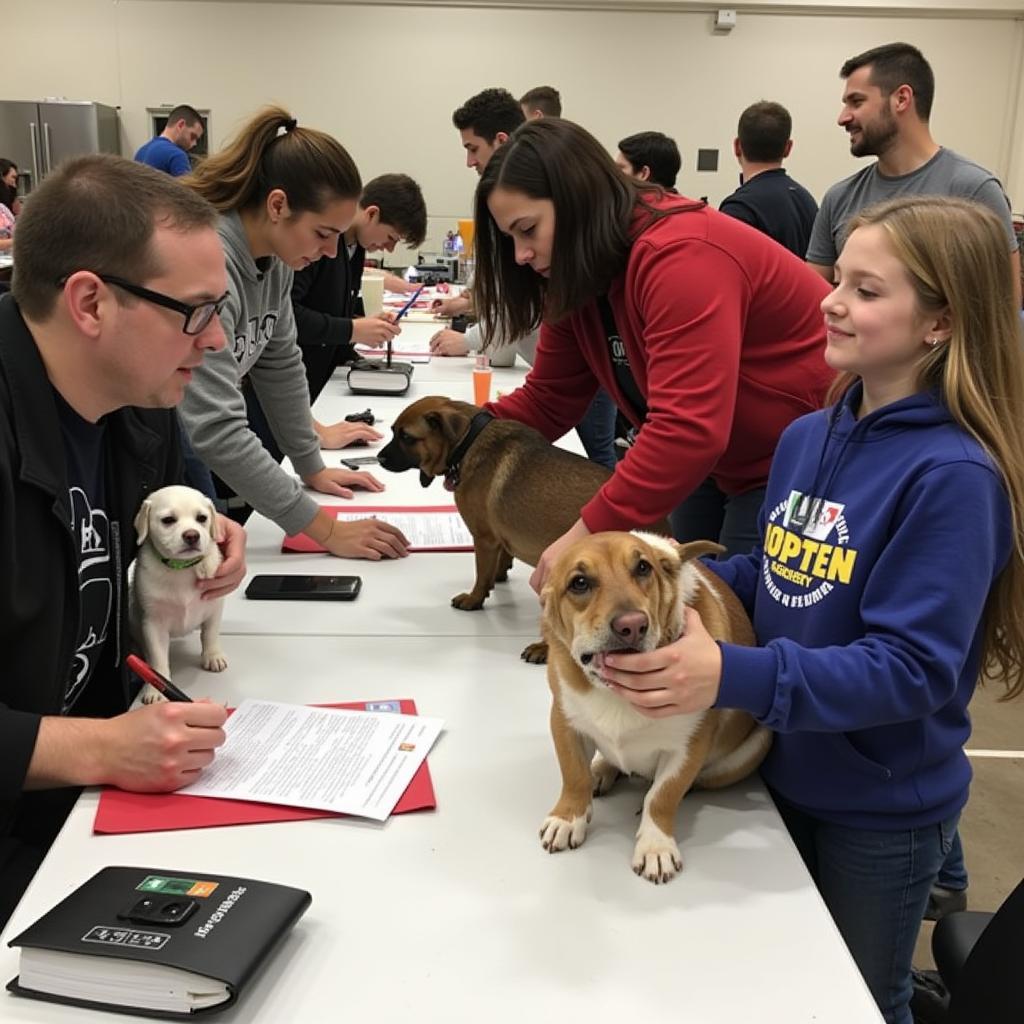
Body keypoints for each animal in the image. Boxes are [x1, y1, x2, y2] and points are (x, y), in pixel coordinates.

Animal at [130, 483, 228, 700]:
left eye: (202, 518)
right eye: (168, 520)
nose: (192, 535)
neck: (181, 568)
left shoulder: (214, 608)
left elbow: (210, 634)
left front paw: (213, 656)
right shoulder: (153, 623)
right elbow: (157, 658)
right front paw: (155, 688)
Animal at [378, 391, 671, 663]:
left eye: (406, 437)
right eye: (393, 432)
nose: (379, 458)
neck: (467, 441)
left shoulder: (483, 538)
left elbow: (481, 575)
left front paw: (474, 598)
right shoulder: (499, 536)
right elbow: (501, 558)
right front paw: (499, 574)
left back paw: (542, 648)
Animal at [544, 528, 770, 880]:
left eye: (643, 568)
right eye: (579, 583)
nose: (632, 624)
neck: (615, 690)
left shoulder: (687, 748)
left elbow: (662, 797)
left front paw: (655, 846)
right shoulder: (565, 722)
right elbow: (574, 776)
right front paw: (567, 819)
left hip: (756, 746)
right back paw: (601, 770)